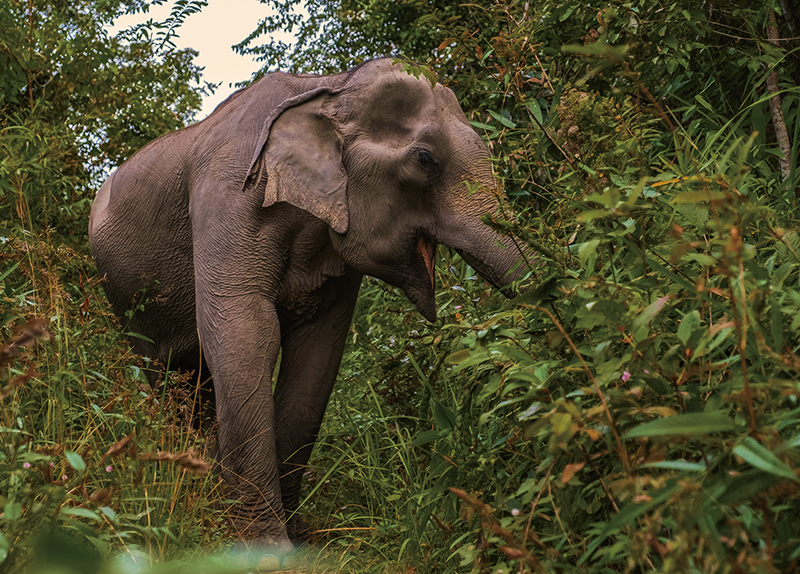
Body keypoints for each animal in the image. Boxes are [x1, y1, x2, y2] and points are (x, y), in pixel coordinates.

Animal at [89, 58, 524, 548]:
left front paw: (298, 538)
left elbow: (316, 352)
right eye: (425, 159)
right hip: (124, 299)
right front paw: (263, 545)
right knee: (169, 378)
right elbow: (248, 333)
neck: (327, 89)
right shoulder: (230, 197)